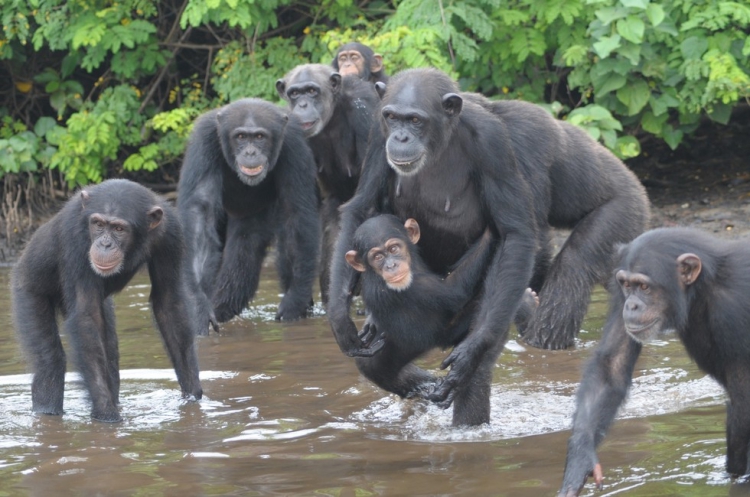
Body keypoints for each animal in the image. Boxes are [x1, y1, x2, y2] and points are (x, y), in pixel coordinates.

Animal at [11, 179, 203, 422]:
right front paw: (106, 414)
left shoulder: (171, 234)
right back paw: (48, 411)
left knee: (110, 355)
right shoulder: (75, 235)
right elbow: (86, 315)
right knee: (49, 361)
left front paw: (193, 395)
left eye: (119, 228)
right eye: (98, 224)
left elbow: (169, 303)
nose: (104, 244)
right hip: (27, 288)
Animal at [178, 97, 320, 330]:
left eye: (260, 137)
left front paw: (294, 300)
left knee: (246, 246)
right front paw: (198, 306)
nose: (251, 152)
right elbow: (200, 214)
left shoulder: (294, 145)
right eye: (241, 137)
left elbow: (296, 213)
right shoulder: (203, 141)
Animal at [328, 68, 652, 426]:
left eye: (414, 120)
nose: (399, 138)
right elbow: (362, 207)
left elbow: (519, 235)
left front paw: (475, 349)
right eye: (391, 117)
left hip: (622, 215)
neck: (443, 141)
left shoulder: (501, 143)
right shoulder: (376, 134)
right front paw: (341, 318)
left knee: (569, 269)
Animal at [560, 227, 750, 494]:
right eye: (627, 285)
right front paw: (580, 460)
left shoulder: (736, 308)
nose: (631, 305)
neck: (702, 287)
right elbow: (611, 365)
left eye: (644, 286)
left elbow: (744, 402)